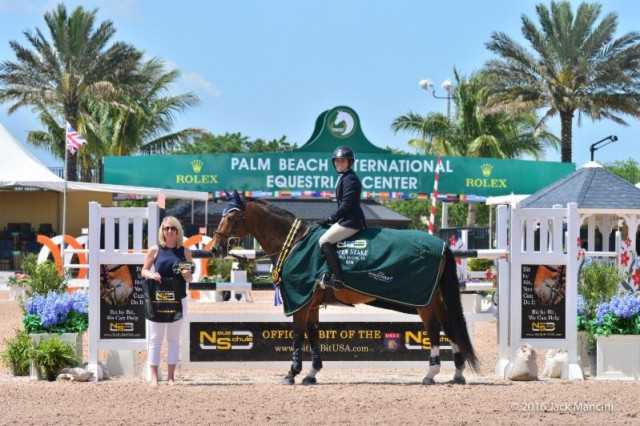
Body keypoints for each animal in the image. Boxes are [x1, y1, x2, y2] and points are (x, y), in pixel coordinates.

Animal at [211, 191, 480, 384]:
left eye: (232, 218)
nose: (214, 248)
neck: (295, 243)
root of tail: (440, 246)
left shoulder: (300, 302)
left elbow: (298, 335)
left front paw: (292, 373)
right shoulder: (311, 304)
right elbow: (314, 335)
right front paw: (312, 374)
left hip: (422, 301)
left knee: (434, 330)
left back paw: (431, 374)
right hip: (433, 298)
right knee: (449, 328)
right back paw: (457, 374)